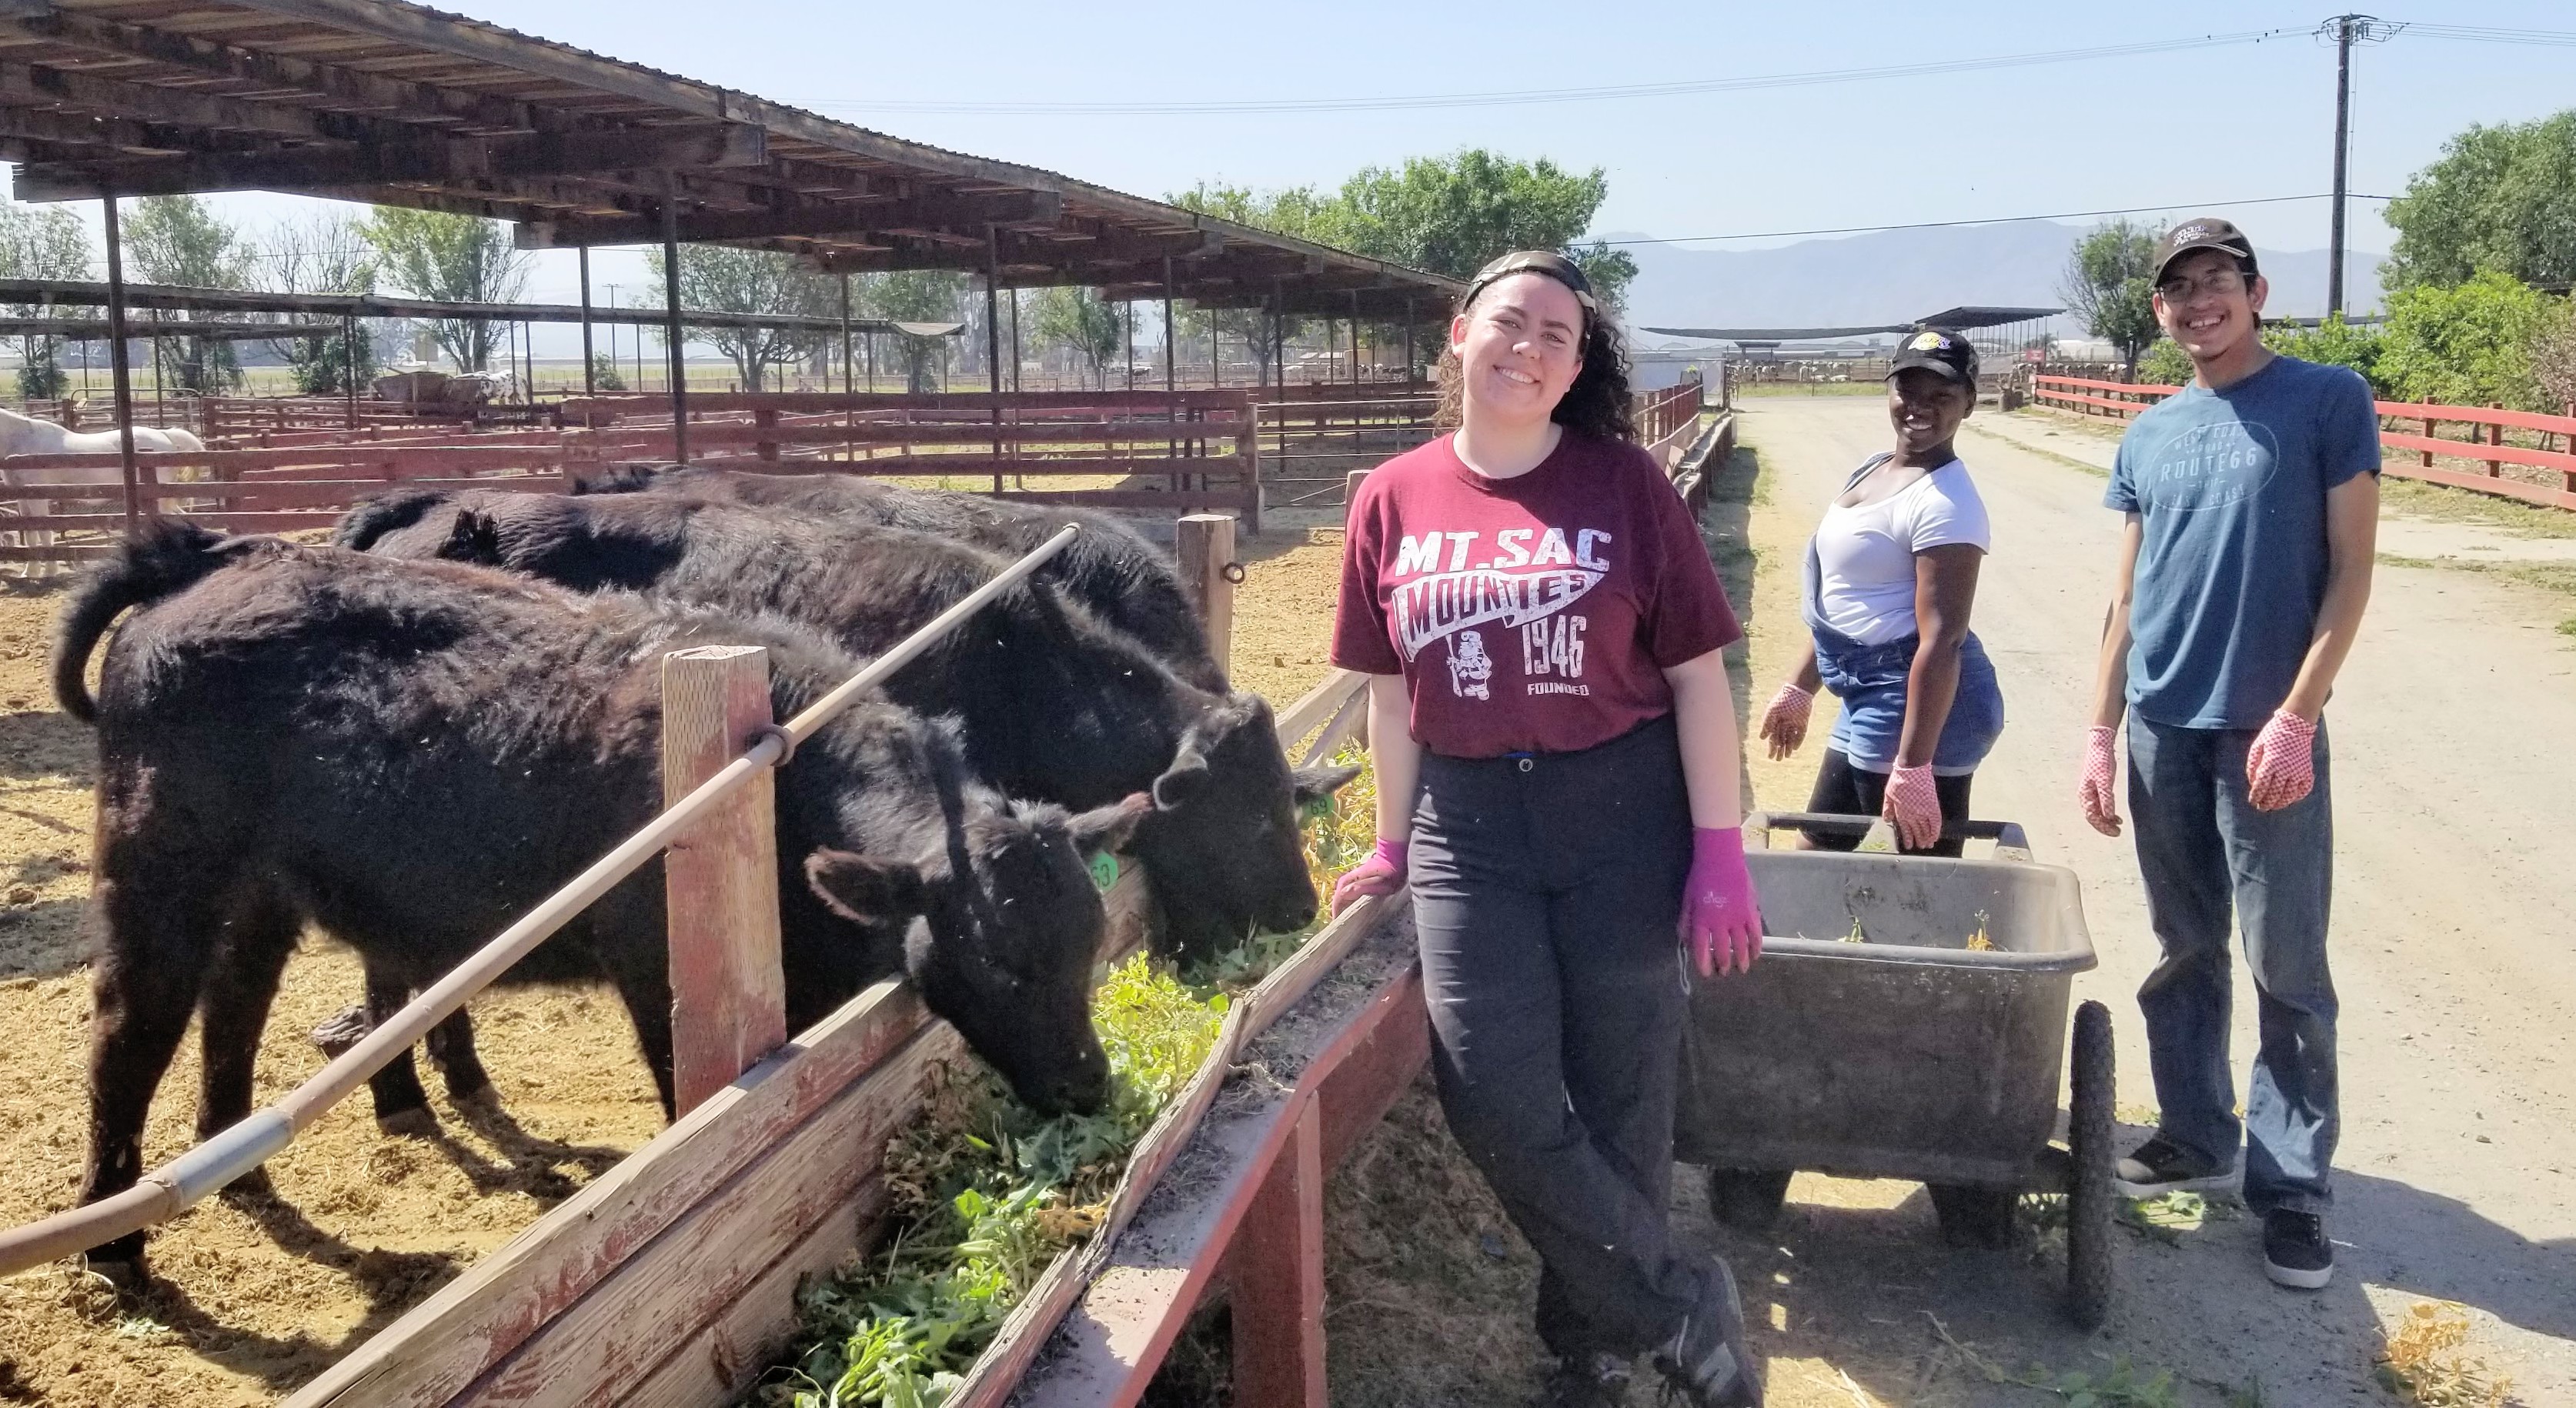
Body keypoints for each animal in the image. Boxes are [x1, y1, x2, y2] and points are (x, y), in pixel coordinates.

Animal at [0, 401, 205, 566]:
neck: (22, 441)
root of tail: (165, 434)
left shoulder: (38, 496)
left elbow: (43, 532)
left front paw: (50, 571)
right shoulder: (22, 497)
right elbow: (30, 533)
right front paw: (31, 572)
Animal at [47, 522, 1138, 1271]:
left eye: (1089, 942)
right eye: (999, 956)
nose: (1091, 1083)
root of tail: (209, 565)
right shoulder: (660, 974)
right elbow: (681, 1100)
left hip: (267, 896)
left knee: (235, 1010)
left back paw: (254, 1160)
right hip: (157, 875)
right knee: (130, 1028)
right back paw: (116, 1244)